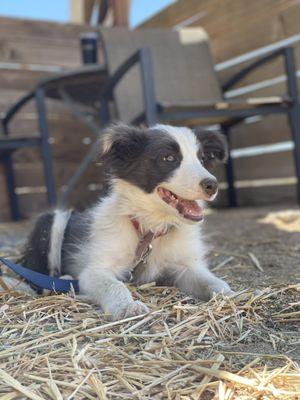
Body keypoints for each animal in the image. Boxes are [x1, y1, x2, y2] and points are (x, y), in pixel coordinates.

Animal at [16, 123, 233, 320]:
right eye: (169, 158)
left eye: (202, 159)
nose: (212, 185)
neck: (150, 228)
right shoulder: (94, 271)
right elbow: (114, 285)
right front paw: (127, 307)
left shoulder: (186, 266)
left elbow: (213, 282)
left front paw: (229, 295)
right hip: (54, 219)